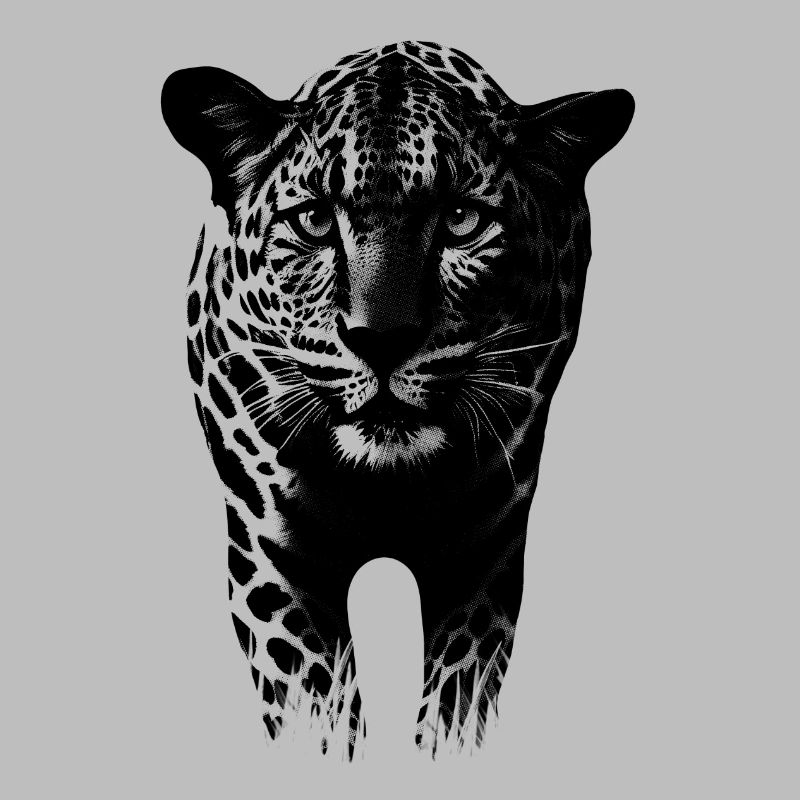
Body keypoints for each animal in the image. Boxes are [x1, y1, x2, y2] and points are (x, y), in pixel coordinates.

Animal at [161, 40, 633, 758]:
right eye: (315, 219)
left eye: (463, 220)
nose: (380, 339)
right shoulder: (275, 561)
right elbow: (316, 708)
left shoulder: (484, 559)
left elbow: (458, 701)